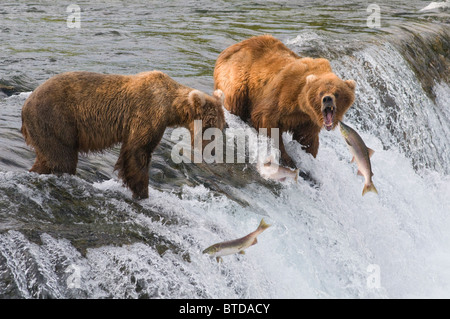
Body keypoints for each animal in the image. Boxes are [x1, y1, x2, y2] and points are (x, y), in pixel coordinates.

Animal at [21, 71, 225, 199]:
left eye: (223, 126)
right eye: (210, 126)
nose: (214, 152)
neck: (171, 107)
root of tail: (25, 106)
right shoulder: (147, 114)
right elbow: (138, 150)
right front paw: (141, 191)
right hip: (56, 120)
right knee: (62, 158)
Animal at [213, 34, 356, 169]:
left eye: (337, 93)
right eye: (320, 92)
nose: (327, 99)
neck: (301, 105)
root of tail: (230, 48)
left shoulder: (308, 119)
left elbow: (307, 137)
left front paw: (307, 155)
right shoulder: (283, 94)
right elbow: (266, 119)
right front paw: (287, 159)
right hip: (238, 78)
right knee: (235, 102)